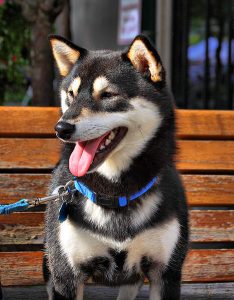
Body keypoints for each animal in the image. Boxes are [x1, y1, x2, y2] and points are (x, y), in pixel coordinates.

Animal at [44, 35, 189, 300]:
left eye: (108, 94)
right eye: (71, 94)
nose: (61, 128)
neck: (115, 192)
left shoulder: (166, 274)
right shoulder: (66, 276)